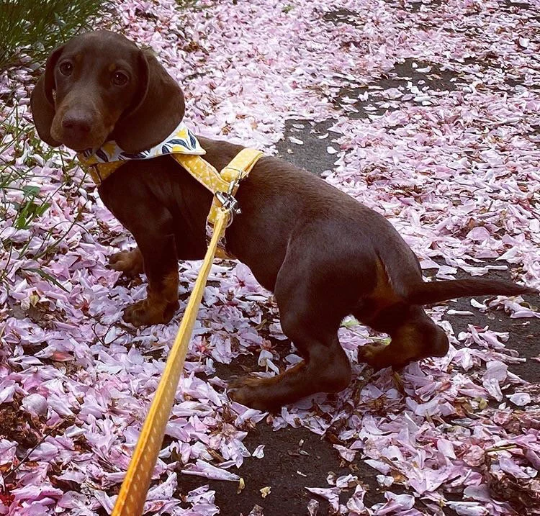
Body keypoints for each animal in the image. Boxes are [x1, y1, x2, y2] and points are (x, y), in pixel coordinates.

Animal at [31, 31, 532, 412]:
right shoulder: (176, 236)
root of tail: (383, 239)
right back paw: (383, 354)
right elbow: (152, 259)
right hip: (372, 298)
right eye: (66, 68)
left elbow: (162, 278)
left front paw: (150, 313)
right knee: (429, 334)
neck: (133, 151)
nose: (74, 124)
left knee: (332, 366)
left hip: (301, 293)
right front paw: (128, 261)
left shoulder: (155, 226)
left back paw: (260, 394)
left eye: (119, 78)